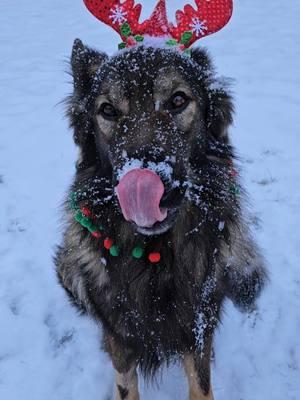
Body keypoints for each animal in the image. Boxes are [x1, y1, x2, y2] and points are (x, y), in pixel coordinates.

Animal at [55, 38, 268, 400]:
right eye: (108, 110)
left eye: (178, 100)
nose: (142, 181)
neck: (155, 255)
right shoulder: (121, 338)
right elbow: (126, 384)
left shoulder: (197, 325)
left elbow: (202, 384)